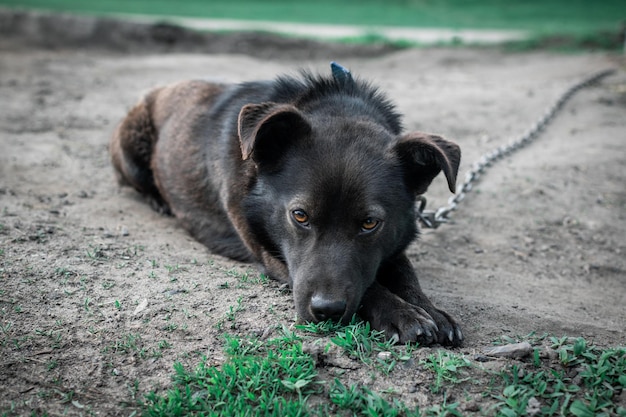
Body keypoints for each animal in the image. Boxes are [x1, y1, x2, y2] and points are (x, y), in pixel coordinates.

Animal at [109, 61, 460, 344]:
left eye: (370, 223)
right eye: (300, 216)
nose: (326, 311)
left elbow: (404, 270)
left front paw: (430, 310)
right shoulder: (272, 254)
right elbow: (370, 285)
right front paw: (403, 314)